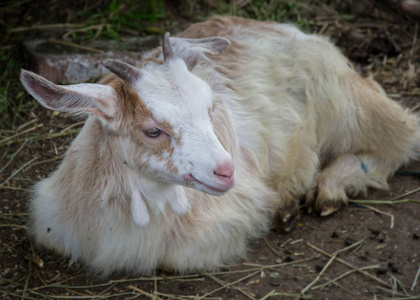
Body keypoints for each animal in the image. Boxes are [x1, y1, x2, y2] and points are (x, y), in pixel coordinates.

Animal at [19, 15, 420, 276]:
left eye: (210, 107)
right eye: (153, 131)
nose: (227, 171)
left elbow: (173, 259)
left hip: (345, 100)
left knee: (401, 135)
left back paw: (331, 187)